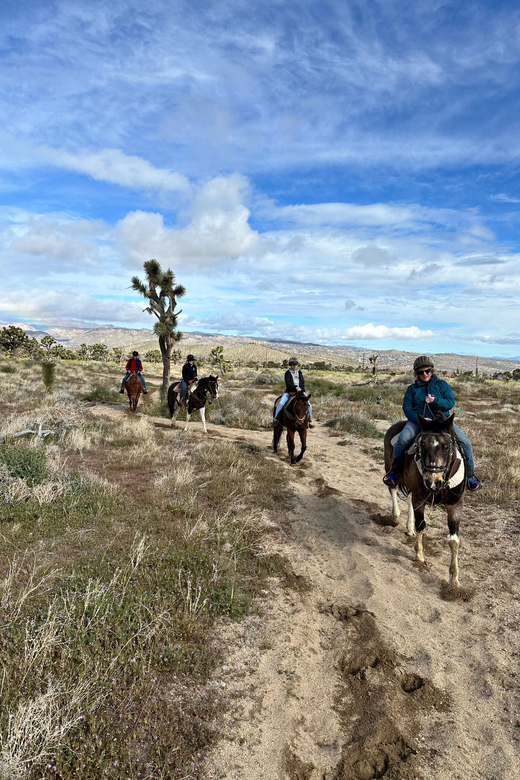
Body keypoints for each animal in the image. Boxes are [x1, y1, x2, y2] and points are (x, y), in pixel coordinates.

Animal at [382, 414, 468, 584]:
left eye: (446, 446)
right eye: (422, 445)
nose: (433, 481)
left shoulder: (455, 505)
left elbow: (454, 540)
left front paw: (454, 579)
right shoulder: (420, 499)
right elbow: (421, 526)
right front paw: (419, 556)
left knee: (408, 500)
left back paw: (409, 529)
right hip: (391, 471)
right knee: (393, 489)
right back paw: (395, 517)